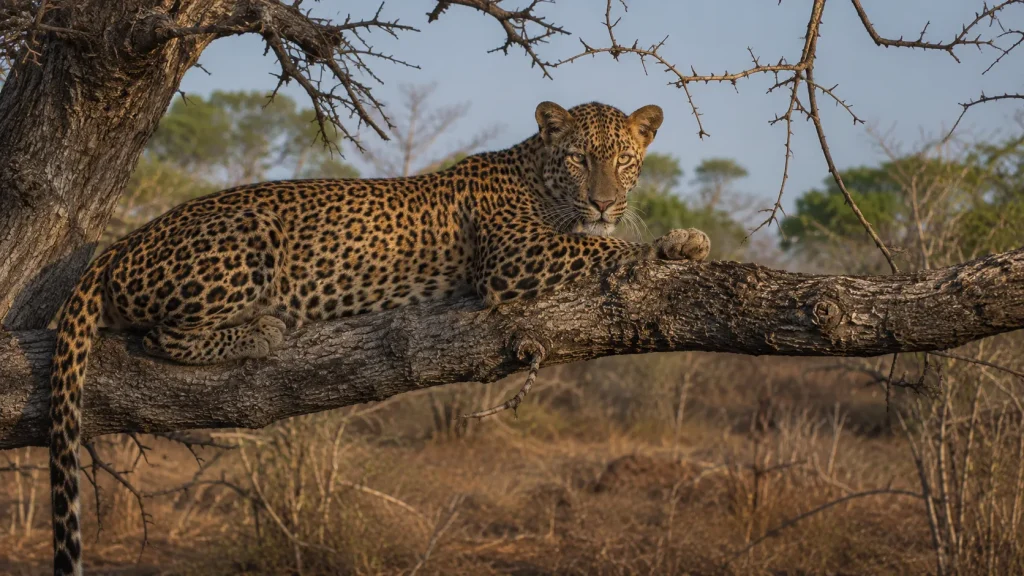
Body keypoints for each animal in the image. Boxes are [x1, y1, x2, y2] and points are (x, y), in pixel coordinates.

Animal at [47, 100, 710, 575]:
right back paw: (261, 330)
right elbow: (602, 247)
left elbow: (599, 241)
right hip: (248, 236)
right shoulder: (515, 254)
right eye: (578, 158)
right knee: (160, 337)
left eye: (622, 160)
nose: (603, 201)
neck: (539, 177)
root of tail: (117, 247)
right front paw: (676, 242)